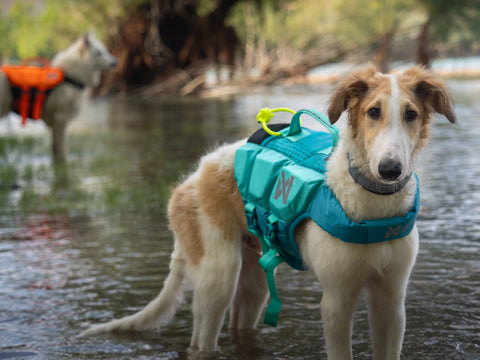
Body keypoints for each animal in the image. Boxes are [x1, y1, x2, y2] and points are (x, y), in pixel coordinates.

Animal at [0, 33, 116, 163]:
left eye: (105, 50)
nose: (115, 62)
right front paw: (62, 161)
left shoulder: (57, 123)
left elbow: (55, 147)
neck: (70, 76)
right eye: (99, 53)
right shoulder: (60, 120)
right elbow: (61, 147)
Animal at [80, 66, 456, 358]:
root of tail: (191, 179)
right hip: (218, 278)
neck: (373, 205)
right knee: (201, 342)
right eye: (373, 112)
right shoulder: (337, 300)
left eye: (411, 114)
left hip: (255, 281)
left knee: (240, 323)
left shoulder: (391, 300)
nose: (390, 170)